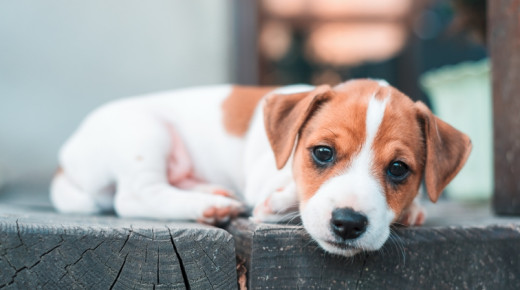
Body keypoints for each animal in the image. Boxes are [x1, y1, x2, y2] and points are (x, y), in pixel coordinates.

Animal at [51, 78, 472, 256]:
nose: (348, 223)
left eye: (398, 169)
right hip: (146, 133)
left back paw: (211, 193)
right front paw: (283, 199)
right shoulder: (264, 178)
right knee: (135, 196)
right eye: (322, 153)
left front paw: (412, 208)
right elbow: (284, 195)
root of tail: (64, 161)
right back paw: (211, 205)